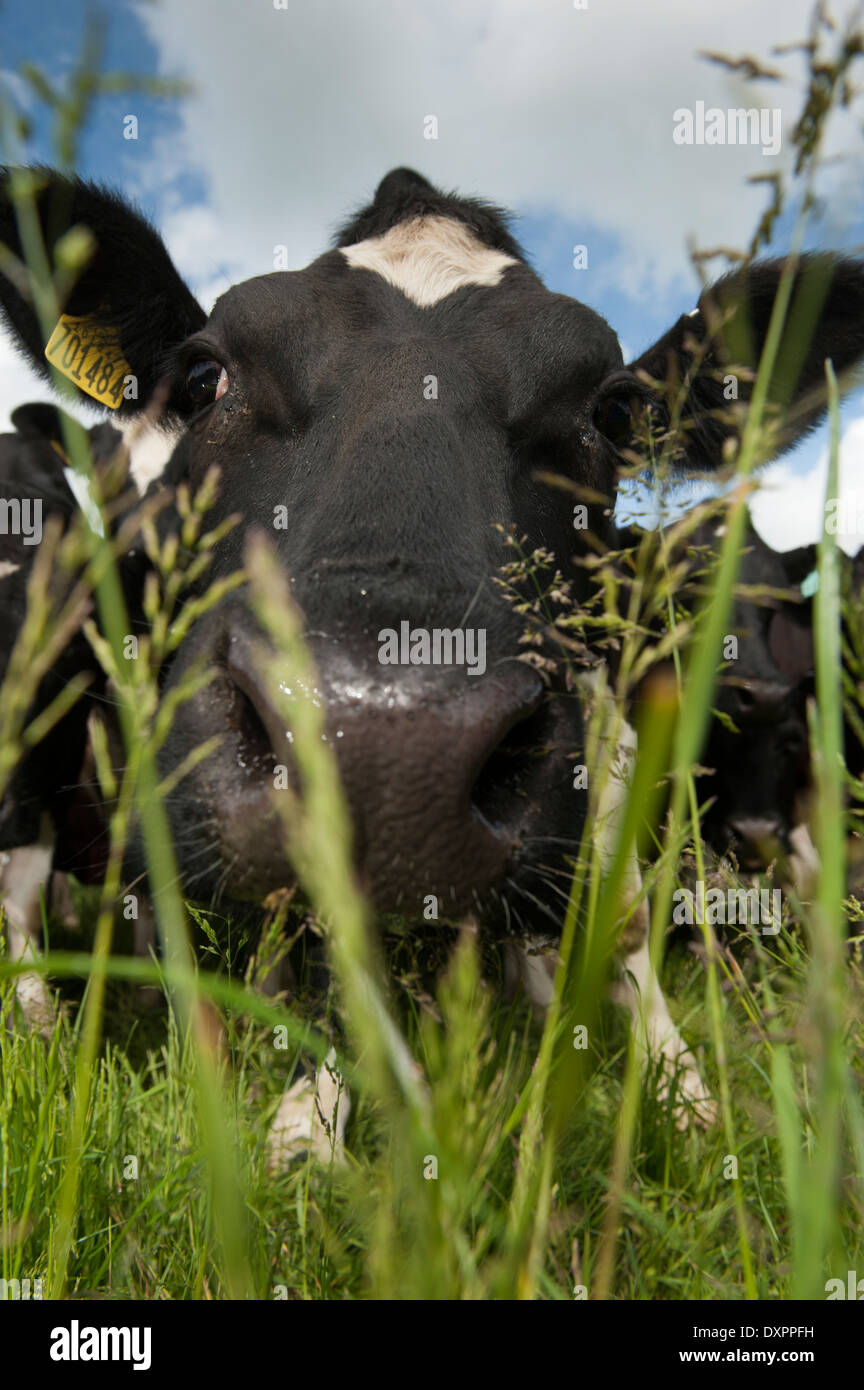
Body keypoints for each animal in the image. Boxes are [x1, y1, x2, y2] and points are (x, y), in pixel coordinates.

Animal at [1, 165, 864, 1150]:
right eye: (204, 376)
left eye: (613, 412)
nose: (387, 749)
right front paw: (310, 1120)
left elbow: (628, 917)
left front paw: (682, 1091)